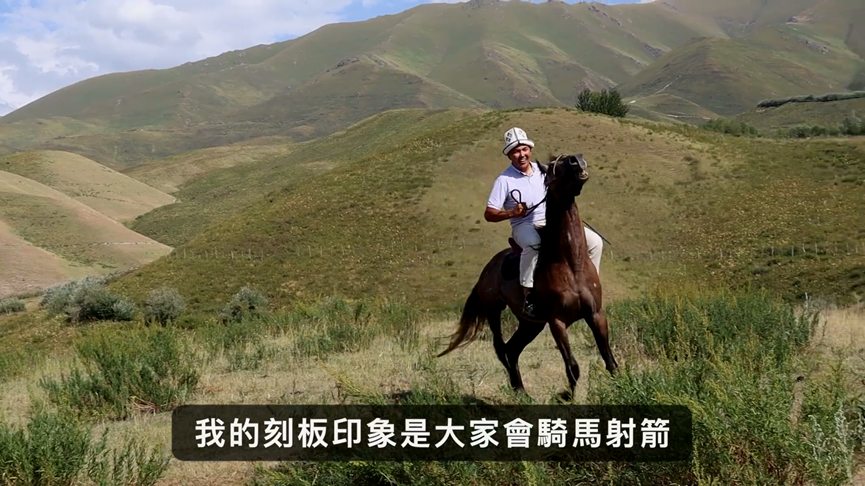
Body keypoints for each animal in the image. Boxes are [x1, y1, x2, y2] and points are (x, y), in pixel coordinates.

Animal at [436, 153, 616, 398]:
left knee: (512, 349)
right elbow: (573, 366)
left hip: (531, 324)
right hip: (494, 310)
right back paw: (517, 387)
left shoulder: (595, 315)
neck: (570, 264)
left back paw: (520, 389)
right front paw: (565, 396)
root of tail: (488, 268)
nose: (576, 159)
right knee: (501, 348)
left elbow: (609, 360)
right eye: (553, 166)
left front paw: (622, 386)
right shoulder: (557, 322)